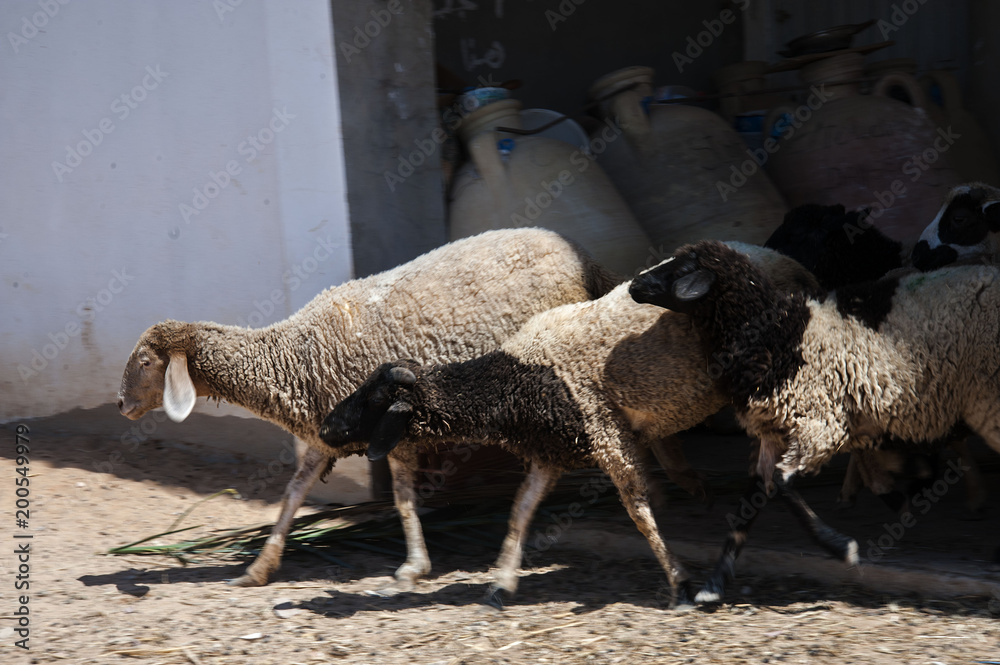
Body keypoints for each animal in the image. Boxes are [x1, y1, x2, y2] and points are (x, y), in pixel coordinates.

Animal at [116, 227, 622, 588]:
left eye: (145, 362)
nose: (120, 403)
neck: (291, 358)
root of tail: (587, 260)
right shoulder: (323, 436)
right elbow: (292, 494)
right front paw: (258, 567)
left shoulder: (390, 428)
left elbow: (401, 498)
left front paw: (413, 567)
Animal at [318, 242, 822, 606]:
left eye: (374, 399)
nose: (325, 429)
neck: (518, 378)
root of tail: (789, 262)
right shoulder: (551, 452)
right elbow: (520, 511)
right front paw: (501, 582)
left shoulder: (607, 436)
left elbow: (639, 514)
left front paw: (679, 582)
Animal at [629, 239, 1000, 602]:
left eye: (680, 269)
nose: (635, 285)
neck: (776, 336)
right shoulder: (775, 429)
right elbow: (752, 499)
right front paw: (713, 586)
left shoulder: (821, 423)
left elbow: (779, 483)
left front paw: (842, 547)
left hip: (987, 399)